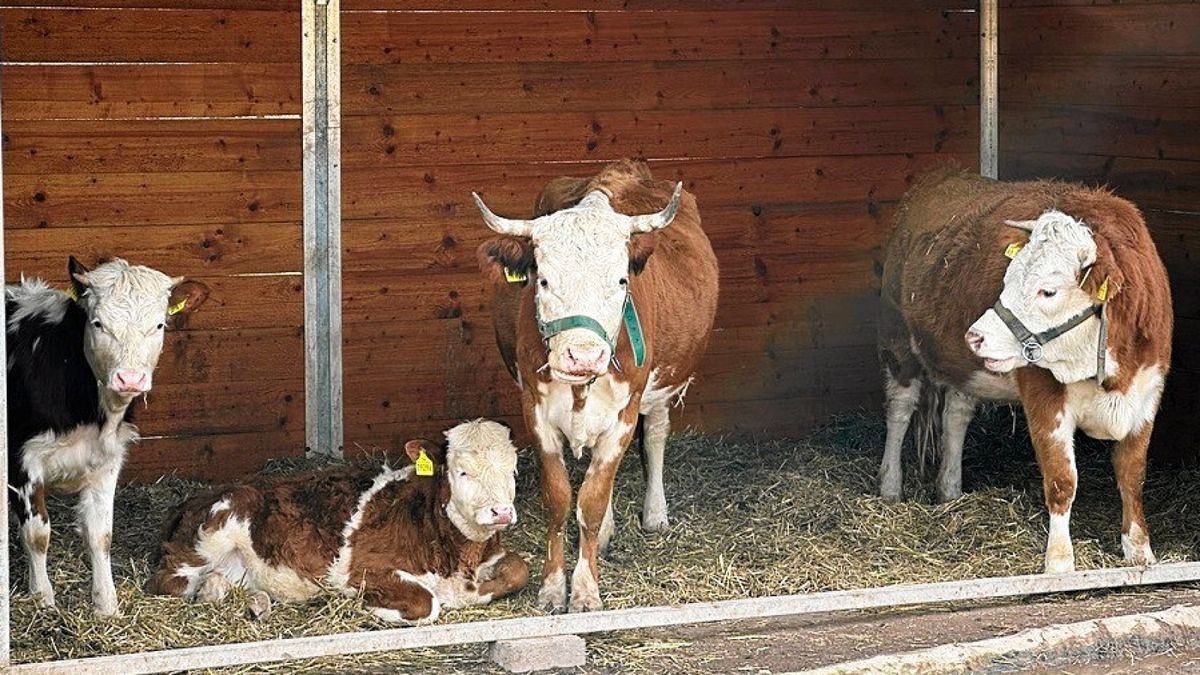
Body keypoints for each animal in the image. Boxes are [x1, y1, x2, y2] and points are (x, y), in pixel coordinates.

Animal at [7, 254, 206, 612]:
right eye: (98, 323)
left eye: (159, 325)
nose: (130, 379)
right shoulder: (22, 459)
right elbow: (37, 534)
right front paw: (42, 599)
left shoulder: (107, 458)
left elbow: (101, 535)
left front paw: (106, 605)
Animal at [147, 417, 528, 624]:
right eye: (463, 472)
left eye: (513, 470)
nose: (501, 512)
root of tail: (196, 496)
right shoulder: (365, 570)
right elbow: (426, 603)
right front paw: (367, 606)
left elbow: (519, 569)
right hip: (213, 532)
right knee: (171, 583)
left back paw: (254, 602)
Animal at [472, 157, 715, 610]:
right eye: (543, 280)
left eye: (620, 281)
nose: (584, 357)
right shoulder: (535, 411)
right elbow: (560, 500)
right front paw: (553, 587)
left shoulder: (624, 414)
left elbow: (593, 499)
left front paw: (585, 591)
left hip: (660, 389)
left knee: (655, 435)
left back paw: (654, 514)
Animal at [878, 165, 1166, 569]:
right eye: (1007, 278)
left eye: (1048, 291)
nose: (975, 336)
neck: (1111, 375)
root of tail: (943, 175)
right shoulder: (1044, 395)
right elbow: (1062, 480)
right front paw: (1059, 562)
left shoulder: (1147, 393)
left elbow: (1132, 474)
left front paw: (1139, 551)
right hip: (896, 337)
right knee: (900, 411)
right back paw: (890, 487)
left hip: (965, 368)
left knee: (955, 417)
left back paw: (950, 490)